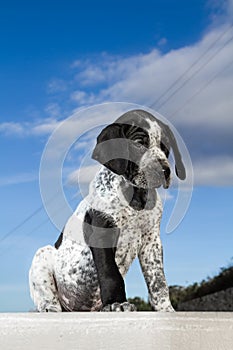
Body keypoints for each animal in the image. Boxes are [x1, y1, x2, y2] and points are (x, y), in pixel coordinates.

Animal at [29, 109, 186, 312]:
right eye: (138, 143)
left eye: (165, 147)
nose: (164, 171)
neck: (134, 195)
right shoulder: (102, 231)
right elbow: (111, 274)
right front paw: (116, 303)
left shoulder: (151, 241)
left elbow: (158, 280)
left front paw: (166, 309)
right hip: (43, 254)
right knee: (47, 298)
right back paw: (50, 308)